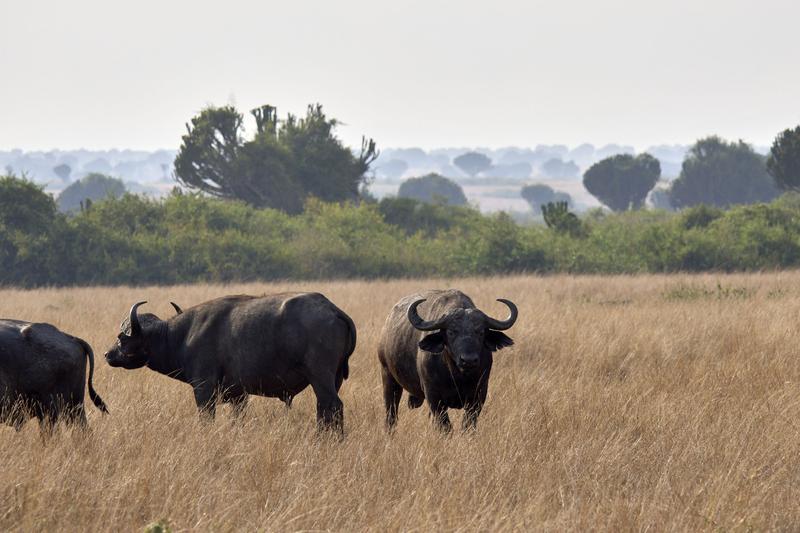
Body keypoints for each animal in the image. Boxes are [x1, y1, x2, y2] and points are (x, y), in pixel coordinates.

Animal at [103, 294, 356, 430]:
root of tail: (334, 310)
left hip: (321, 377)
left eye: (122, 337)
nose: (107, 354)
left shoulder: (203, 389)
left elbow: (206, 418)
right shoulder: (238, 396)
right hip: (334, 379)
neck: (181, 336)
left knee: (331, 406)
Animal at [376, 288, 520, 430]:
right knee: (391, 414)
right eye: (451, 332)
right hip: (388, 376)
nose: (468, 360)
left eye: (480, 332)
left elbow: (468, 424)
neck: (458, 376)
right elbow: (445, 426)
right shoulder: (433, 396)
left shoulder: (479, 395)